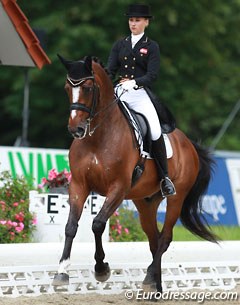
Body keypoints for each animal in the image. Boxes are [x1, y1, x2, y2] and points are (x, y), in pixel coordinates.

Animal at [52, 54, 218, 292]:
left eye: (88, 88)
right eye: (67, 88)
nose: (76, 129)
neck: (97, 137)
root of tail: (189, 144)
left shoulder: (118, 188)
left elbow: (97, 224)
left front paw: (101, 269)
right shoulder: (79, 185)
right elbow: (71, 226)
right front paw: (62, 272)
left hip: (176, 198)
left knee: (165, 238)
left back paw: (149, 278)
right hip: (145, 202)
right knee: (154, 240)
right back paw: (155, 287)